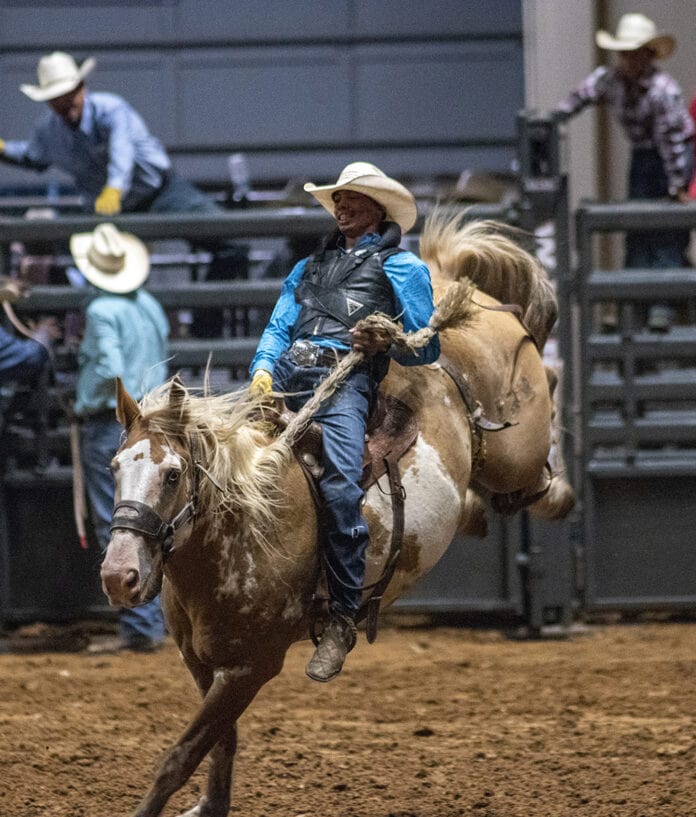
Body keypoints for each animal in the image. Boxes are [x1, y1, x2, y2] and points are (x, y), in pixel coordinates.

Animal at [100, 212, 572, 816]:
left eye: (173, 475)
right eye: (115, 466)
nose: (119, 575)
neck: (241, 529)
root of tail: (449, 282)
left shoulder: (254, 665)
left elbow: (181, 756)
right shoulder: (201, 661)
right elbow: (221, 745)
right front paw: (211, 805)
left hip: (518, 450)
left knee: (539, 430)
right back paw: (474, 510)